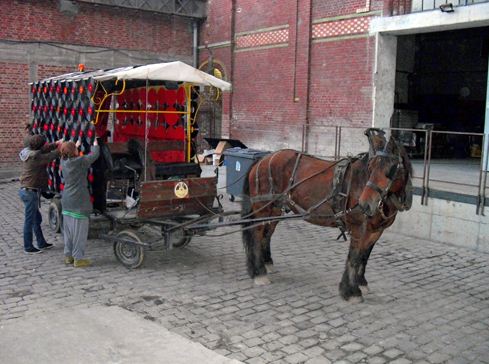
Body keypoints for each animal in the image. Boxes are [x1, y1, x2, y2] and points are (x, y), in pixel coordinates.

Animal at [240, 128, 412, 302]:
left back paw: (266, 264)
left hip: (274, 209)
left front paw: (361, 283)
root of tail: (263, 159)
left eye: (391, 169)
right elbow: (354, 258)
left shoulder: (376, 231)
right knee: (256, 234)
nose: (365, 204)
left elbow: (364, 257)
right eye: (370, 167)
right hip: (262, 208)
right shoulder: (359, 228)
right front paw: (350, 291)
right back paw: (259, 273)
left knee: (266, 234)